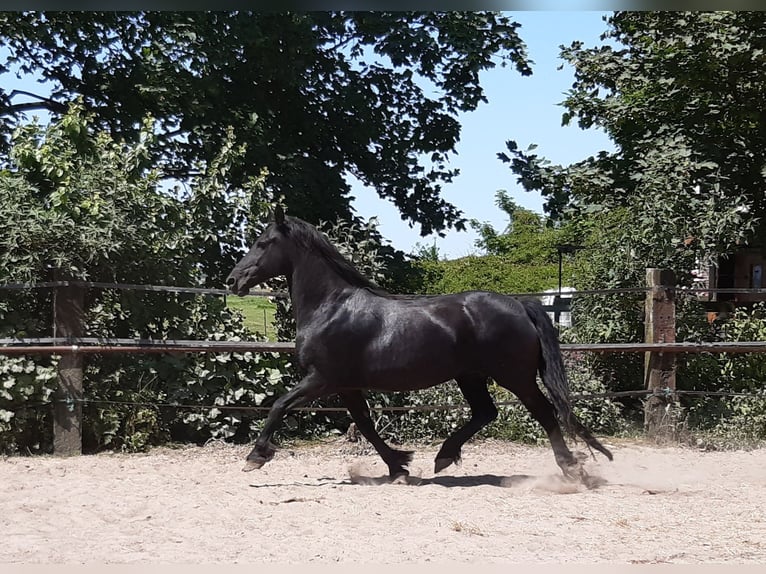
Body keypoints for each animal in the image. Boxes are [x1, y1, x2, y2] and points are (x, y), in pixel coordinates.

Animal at [226, 207, 613, 483]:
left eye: (263, 243)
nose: (233, 280)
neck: (331, 307)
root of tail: (520, 305)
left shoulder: (321, 379)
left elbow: (279, 405)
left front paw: (255, 457)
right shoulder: (347, 385)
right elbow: (365, 425)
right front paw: (399, 466)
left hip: (514, 377)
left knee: (543, 413)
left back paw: (571, 469)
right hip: (470, 376)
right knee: (486, 412)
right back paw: (444, 456)